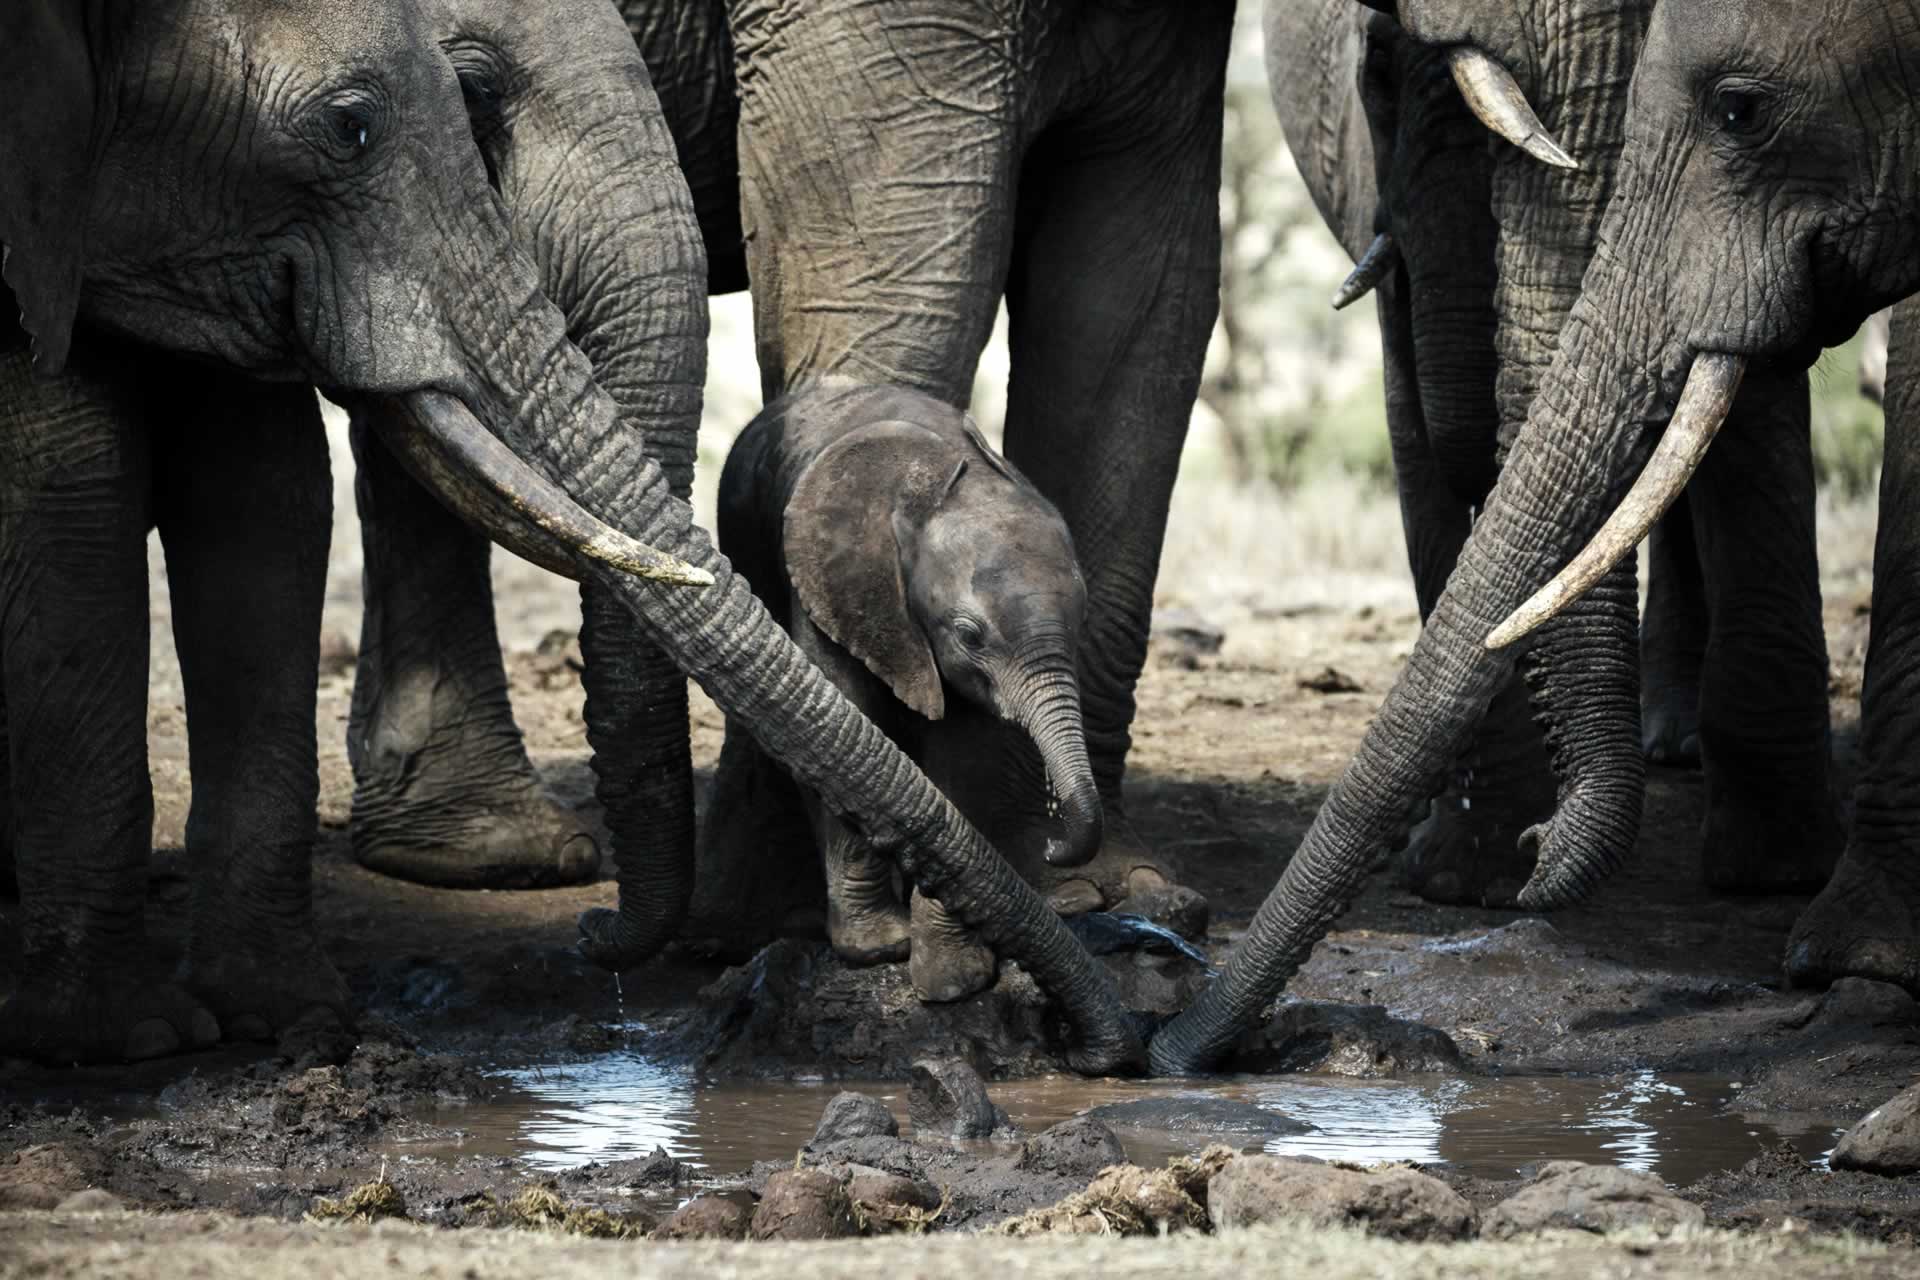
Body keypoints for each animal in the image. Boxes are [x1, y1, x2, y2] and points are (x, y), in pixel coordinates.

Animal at [716, 382, 1105, 1003]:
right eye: (969, 634)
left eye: (1083, 619)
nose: (1053, 845)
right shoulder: (833, 584)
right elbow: (847, 717)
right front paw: (879, 950)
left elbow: (963, 758)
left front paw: (954, 981)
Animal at [1268, 0, 1840, 907]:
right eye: (1376, 70)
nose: (1542, 849)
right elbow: (1411, 413)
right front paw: (1472, 880)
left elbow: (1745, 389)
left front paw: (1775, 875)